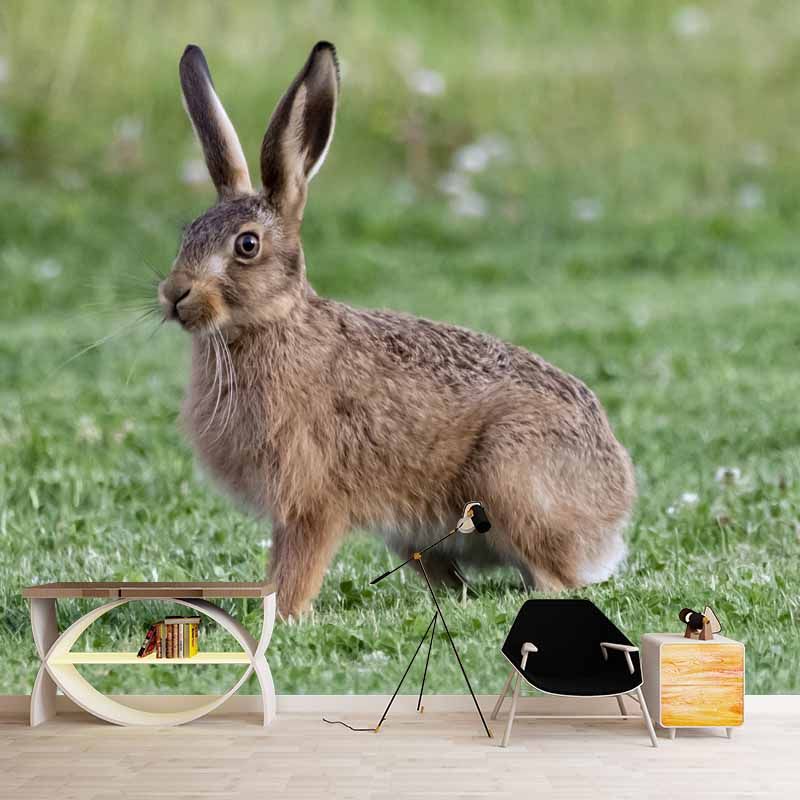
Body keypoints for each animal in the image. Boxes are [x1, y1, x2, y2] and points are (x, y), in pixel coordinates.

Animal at [158, 41, 636, 619]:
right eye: (188, 233)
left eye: (246, 245)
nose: (174, 295)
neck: (270, 325)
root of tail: (614, 507)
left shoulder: (312, 500)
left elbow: (294, 568)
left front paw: (288, 615)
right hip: (416, 535)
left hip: (511, 479)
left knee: (553, 579)